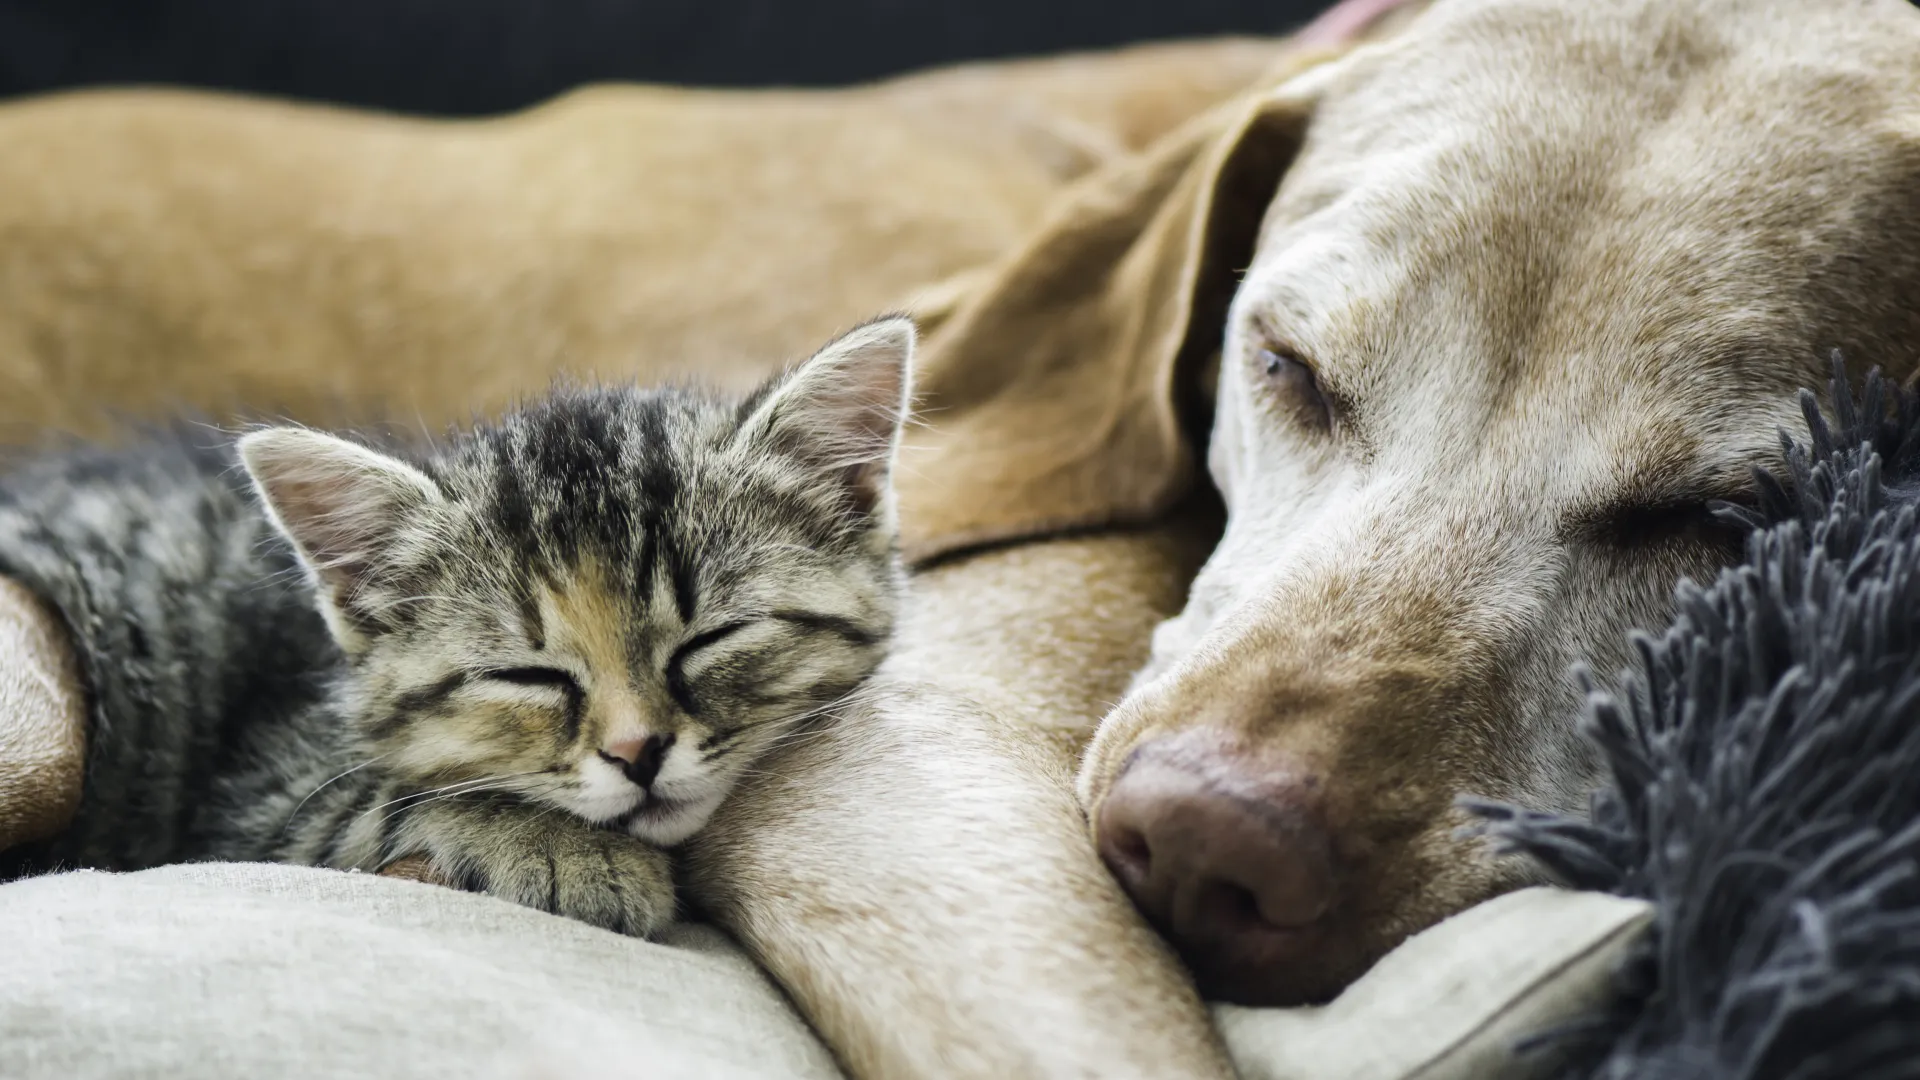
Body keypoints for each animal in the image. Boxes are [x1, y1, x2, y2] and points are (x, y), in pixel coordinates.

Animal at [0, 315, 913, 930]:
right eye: (527, 676)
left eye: (711, 640)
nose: (637, 752)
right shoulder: (260, 803)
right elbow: (393, 801)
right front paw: (576, 853)